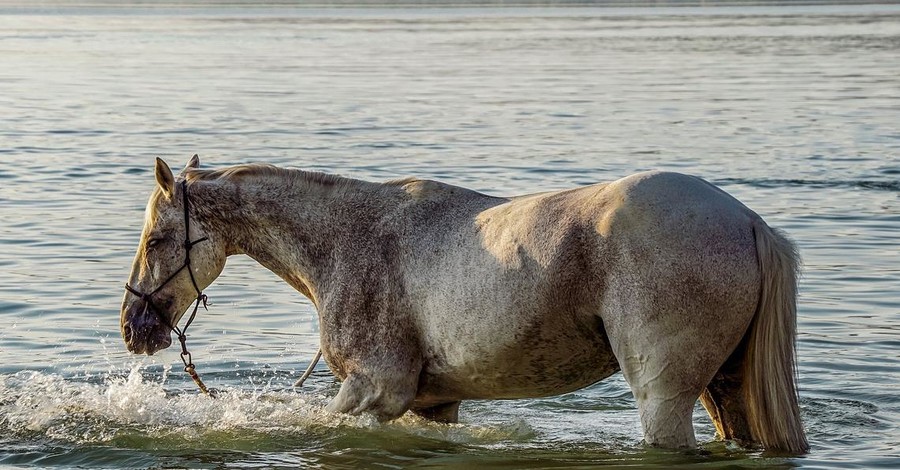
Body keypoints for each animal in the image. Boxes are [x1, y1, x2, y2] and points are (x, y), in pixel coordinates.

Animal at [121, 157, 808, 452]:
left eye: (155, 240)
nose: (135, 327)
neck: (350, 237)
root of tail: (748, 222)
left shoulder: (376, 390)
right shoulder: (432, 403)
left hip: (663, 395)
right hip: (725, 390)